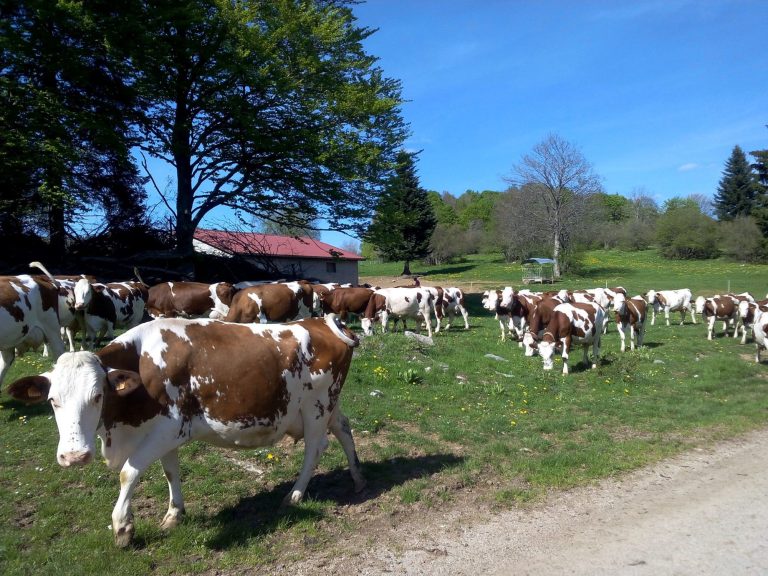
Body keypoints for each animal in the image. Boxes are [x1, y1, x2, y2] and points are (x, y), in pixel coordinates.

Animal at [7, 314, 365, 547]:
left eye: (97, 396)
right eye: (52, 401)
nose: (74, 456)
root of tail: (323, 321)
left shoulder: (169, 426)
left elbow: (128, 473)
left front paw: (123, 527)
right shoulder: (164, 434)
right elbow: (170, 471)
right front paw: (173, 514)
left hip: (316, 407)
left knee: (315, 449)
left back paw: (294, 495)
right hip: (328, 405)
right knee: (344, 429)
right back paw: (357, 476)